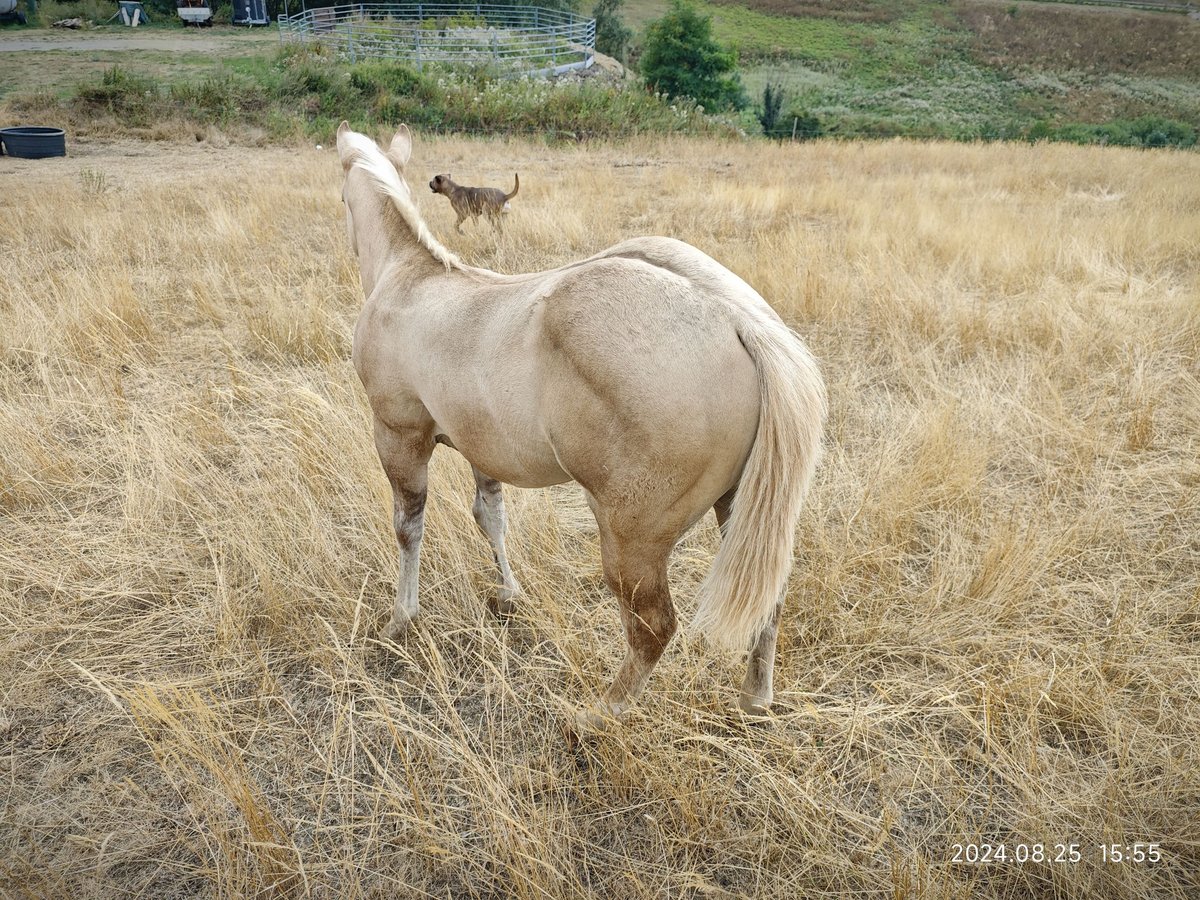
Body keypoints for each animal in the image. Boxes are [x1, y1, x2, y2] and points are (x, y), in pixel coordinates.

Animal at [336, 125, 825, 734]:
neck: (411, 280)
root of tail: (739, 320)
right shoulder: (482, 447)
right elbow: (490, 517)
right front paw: (508, 594)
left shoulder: (399, 437)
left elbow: (408, 528)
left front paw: (402, 618)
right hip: (742, 508)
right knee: (767, 599)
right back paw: (755, 701)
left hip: (630, 539)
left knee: (653, 628)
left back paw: (598, 714)